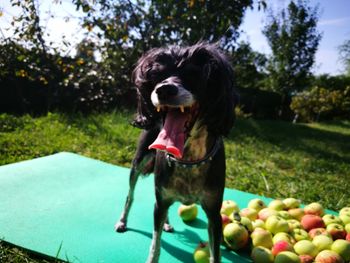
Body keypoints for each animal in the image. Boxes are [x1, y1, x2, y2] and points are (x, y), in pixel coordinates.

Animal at [115, 43, 238, 263]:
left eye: (194, 75)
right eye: (157, 75)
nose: (164, 89)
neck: (188, 158)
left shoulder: (214, 213)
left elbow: (215, 253)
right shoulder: (159, 203)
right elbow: (155, 246)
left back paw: (167, 223)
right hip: (137, 164)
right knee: (130, 195)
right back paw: (123, 221)